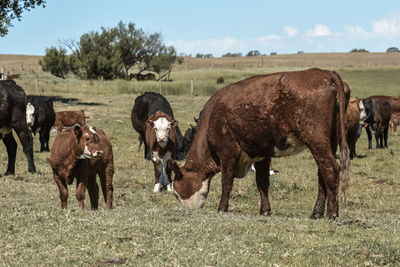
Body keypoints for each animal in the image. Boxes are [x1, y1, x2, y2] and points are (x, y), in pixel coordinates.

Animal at [172, 67, 350, 220]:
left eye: (175, 193)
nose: (185, 211)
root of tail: (326, 73)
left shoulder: (227, 153)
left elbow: (226, 182)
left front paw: (222, 208)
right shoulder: (262, 154)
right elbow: (262, 182)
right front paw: (265, 210)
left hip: (316, 140)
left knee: (331, 170)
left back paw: (332, 213)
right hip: (330, 140)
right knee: (322, 175)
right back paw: (317, 212)